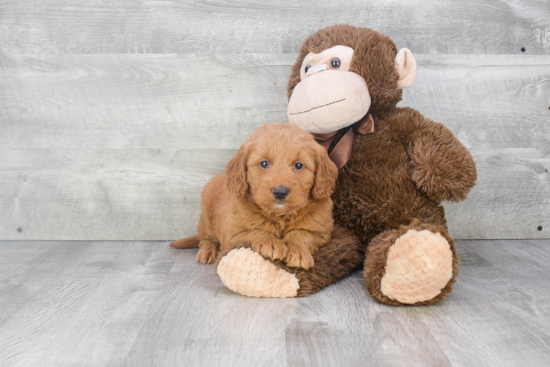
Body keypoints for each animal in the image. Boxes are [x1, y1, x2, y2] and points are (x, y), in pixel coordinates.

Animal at [170, 123, 338, 270]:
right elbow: (254, 231)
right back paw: (207, 251)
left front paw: (298, 251)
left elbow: (302, 233)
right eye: (264, 164)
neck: (280, 215)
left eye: (298, 165)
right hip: (207, 219)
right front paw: (271, 243)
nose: (280, 192)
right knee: (205, 238)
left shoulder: (322, 232)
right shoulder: (232, 234)